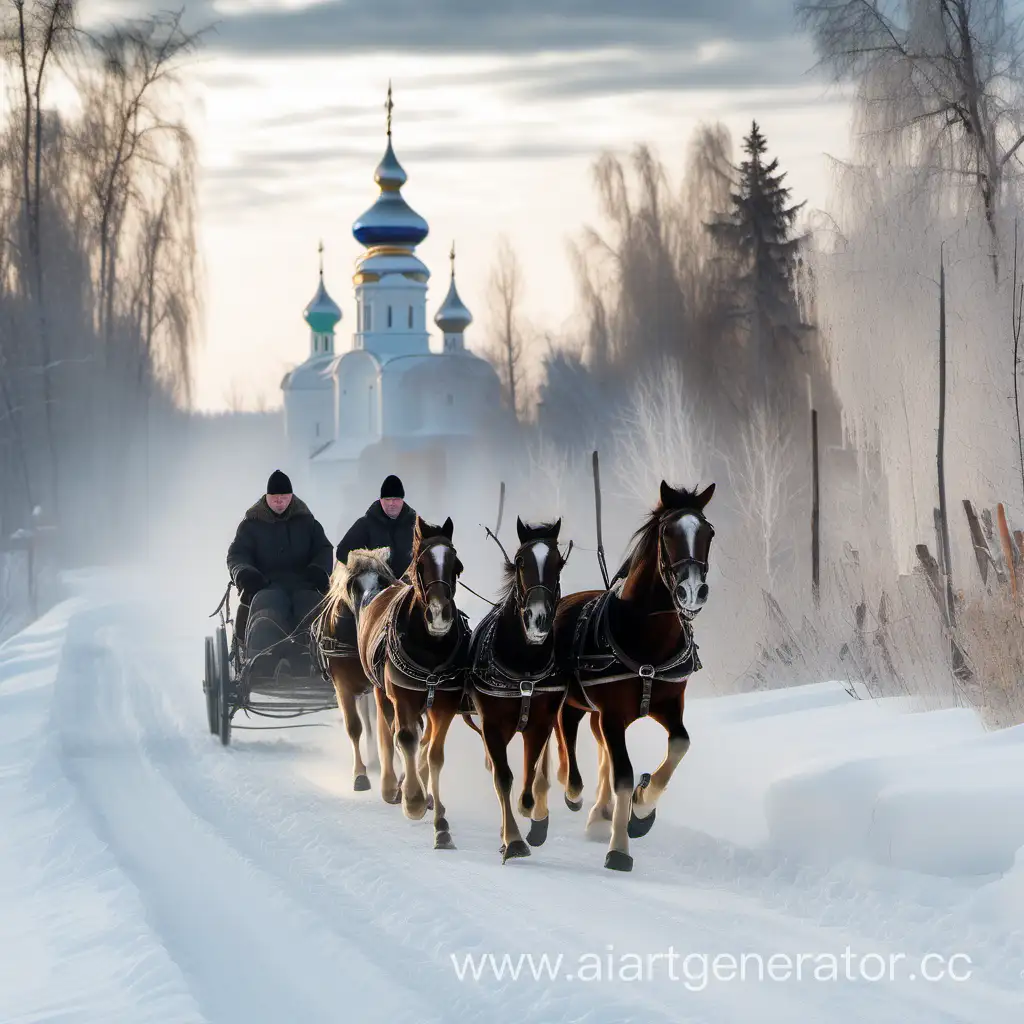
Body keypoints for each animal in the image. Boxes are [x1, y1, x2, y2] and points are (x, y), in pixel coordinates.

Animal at [356, 516, 468, 851]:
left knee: (421, 738)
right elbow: (404, 738)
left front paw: (441, 825)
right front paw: (413, 801)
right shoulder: (402, 696)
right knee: (390, 731)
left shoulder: (444, 702)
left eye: (456, 566)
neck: (430, 647)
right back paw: (393, 786)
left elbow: (433, 753)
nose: (440, 615)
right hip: (381, 691)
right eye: (421, 564)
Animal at [466, 516, 573, 860]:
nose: (539, 618)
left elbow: (528, 771)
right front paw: (512, 840)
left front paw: (529, 810)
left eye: (559, 563)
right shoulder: (491, 723)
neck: (524, 665)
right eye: (520, 561)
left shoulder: (540, 721)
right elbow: (503, 777)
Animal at [548, 479, 716, 872]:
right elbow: (622, 774)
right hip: (573, 701)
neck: (646, 637)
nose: (693, 591)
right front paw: (619, 849)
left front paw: (641, 807)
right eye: (668, 532)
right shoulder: (611, 713)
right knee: (566, 732)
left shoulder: (669, 704)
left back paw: (600, 813)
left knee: (599, 749)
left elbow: (680, 744)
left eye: (709, 532)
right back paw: (573, 789)